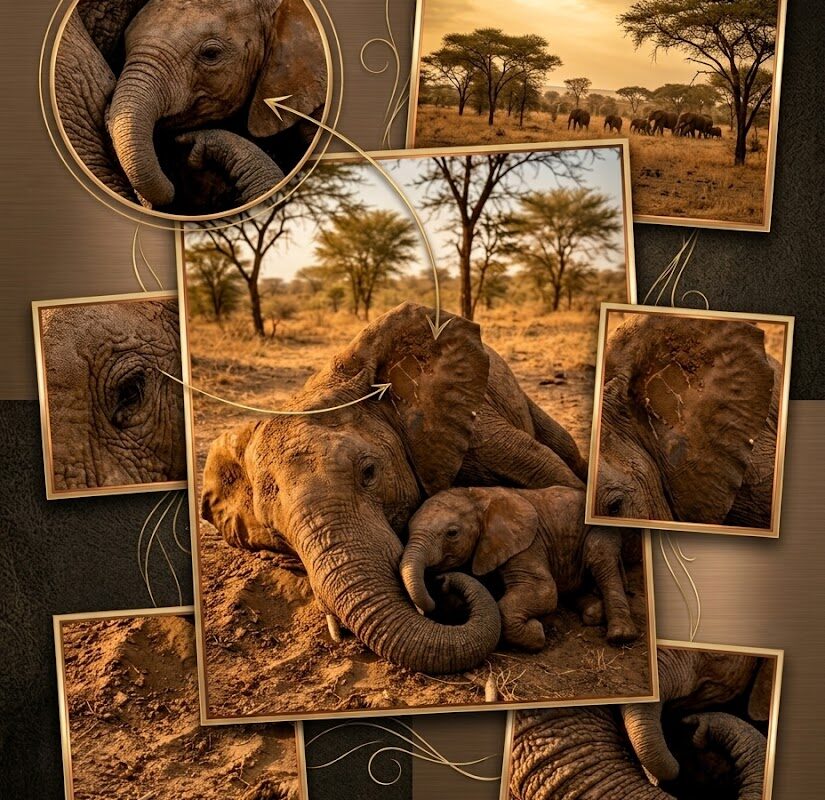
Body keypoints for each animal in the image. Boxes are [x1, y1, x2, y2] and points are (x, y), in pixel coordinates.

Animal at [400, 486, 640, 650]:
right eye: (407, 529)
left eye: (452, 533)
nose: (441, 580)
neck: (478, 496)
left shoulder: (525, 543)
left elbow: (544, 590)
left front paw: (538, 632)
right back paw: (593, 610)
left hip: (600, 531)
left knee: (601, 559)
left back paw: (620, 635)